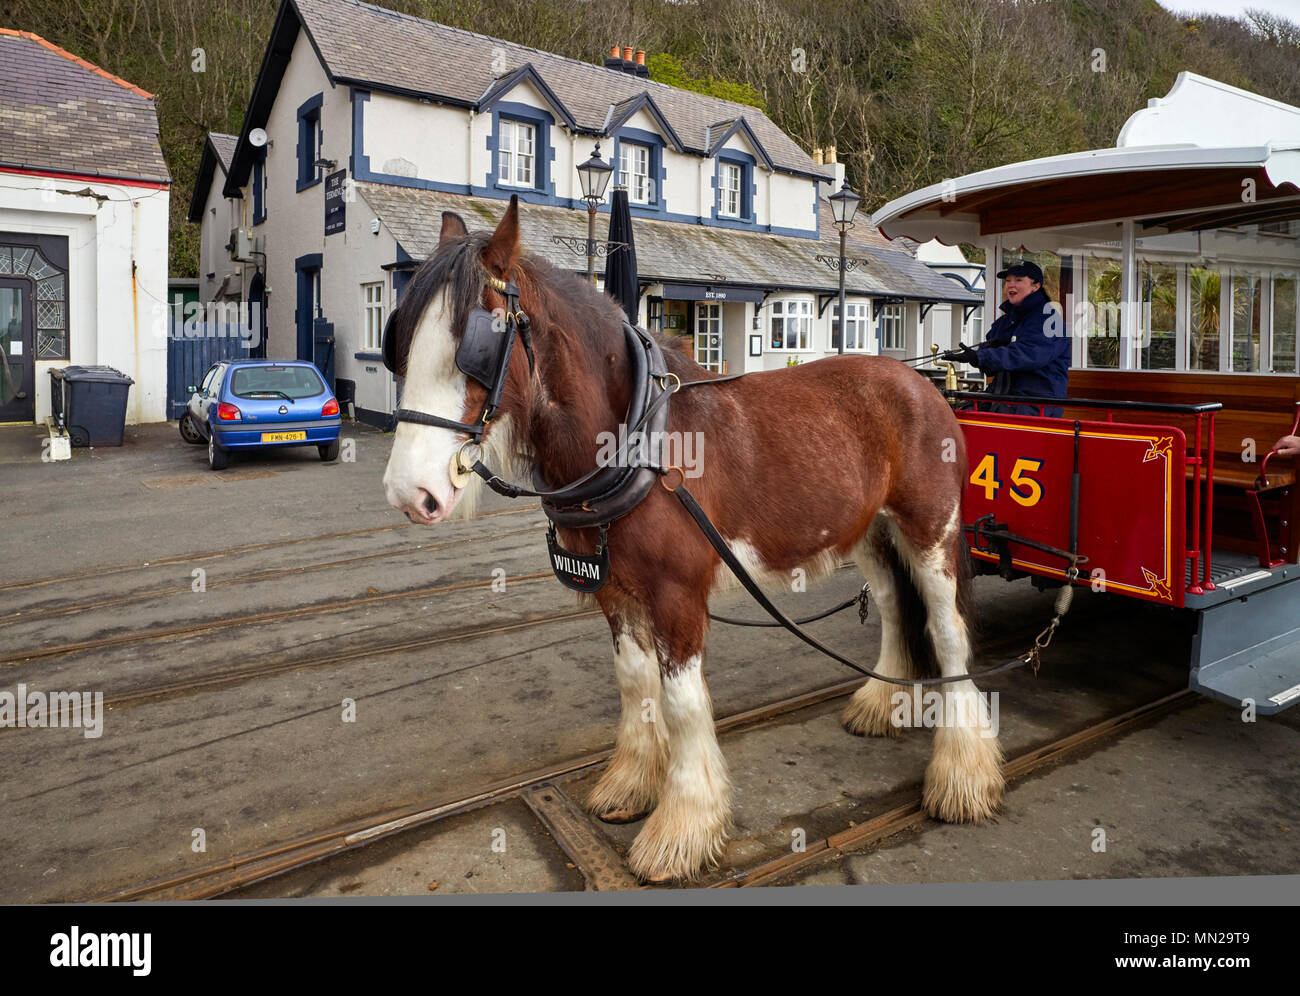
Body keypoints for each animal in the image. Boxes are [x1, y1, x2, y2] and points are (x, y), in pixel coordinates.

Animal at [379, 198, 998, 884]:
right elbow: (634, 682)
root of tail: (920, 382)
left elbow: (680, 702)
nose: (409, 492)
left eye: (476, 345)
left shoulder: (676, 595)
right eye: (399, 340)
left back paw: (962, 771)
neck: (636, 442)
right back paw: (882, 700)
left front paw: (682, 827)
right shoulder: (615, 592)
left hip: (930, 528)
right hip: (867, 530)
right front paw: (630, 783)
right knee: (891, 604)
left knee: (947, 629)